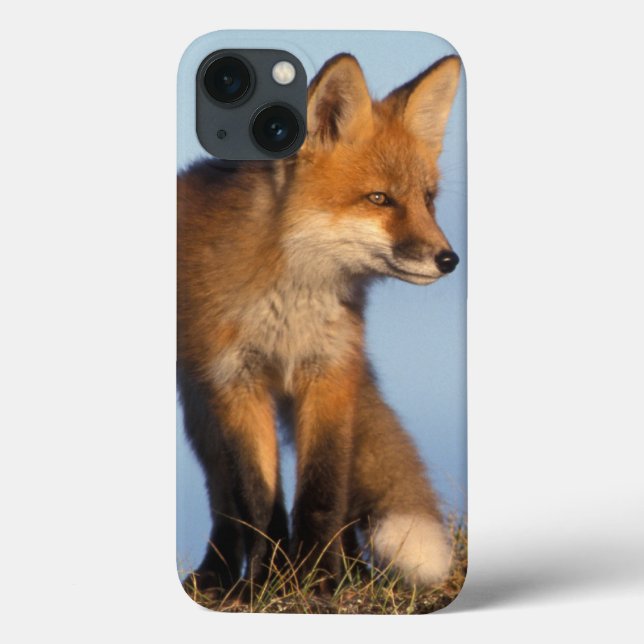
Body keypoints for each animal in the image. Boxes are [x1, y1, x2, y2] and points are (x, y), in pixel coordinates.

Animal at [178, 53, 462, 594]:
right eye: (379, 199)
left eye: (428, 200)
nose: (449, 260)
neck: (290, 307)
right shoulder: (235, 381)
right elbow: (257, 499)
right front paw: (269, 583)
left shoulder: (330, 371)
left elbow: (322, 492)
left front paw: (320, 578)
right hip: (199, 407)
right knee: (224, 500)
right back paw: (220, 574)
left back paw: (351, 569)